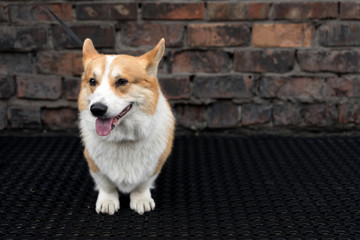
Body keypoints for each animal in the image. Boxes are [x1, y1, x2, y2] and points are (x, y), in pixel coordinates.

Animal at [78, 38, 175, 215]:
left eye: (122, 81)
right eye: (92, 81)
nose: (96, 109)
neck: (123, 138)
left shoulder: (155, 164)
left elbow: (142, 184)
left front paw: (141, 200)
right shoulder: (93, 162)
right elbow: (106, 184)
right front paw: (108, 201)